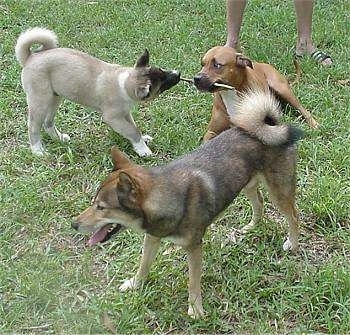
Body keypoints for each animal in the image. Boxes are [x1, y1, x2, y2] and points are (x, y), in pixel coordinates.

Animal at [15, 27, 180, 156]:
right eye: (162, 84)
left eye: (162, 70)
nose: (178, 73)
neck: (123, 83)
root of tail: (30, 57)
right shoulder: (113, 118)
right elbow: (132, 131)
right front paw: (142, 149)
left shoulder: (125, 113)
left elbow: (134, 127)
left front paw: (143, 140)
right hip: (40, 101)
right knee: (33, 126)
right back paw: (38, 151)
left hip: (54, 98)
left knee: (47, 122)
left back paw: (59, 138)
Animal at [73, 90, 300, 320]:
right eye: (93, 202)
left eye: (101, 207)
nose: (74, 224)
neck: (167, 198)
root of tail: (271, 124)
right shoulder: (152, 237)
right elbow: (144, 264)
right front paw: (135, 284)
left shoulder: (193, 247)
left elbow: (192, 281)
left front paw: (195, 309)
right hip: (246, 184)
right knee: (259, 202)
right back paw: (252, 226)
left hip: (279, 192)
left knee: (293, 215)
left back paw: (292, 243)